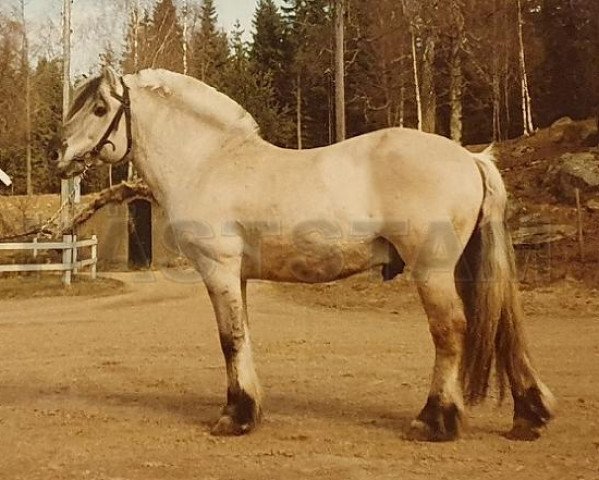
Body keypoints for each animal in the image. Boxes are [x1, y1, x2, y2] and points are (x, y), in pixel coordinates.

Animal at [54, 67, 556, 442]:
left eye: (100, 108)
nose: (60, 156)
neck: (210, 162)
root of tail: (471, 158)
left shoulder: (218, 269)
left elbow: (230, 338)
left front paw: (234, 417)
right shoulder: (237, 276)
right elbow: (243, 335)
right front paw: (249, 409)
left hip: (432, 270)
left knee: (450, 332)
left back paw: (434, 421)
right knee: (500, 327)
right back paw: (529, 415)